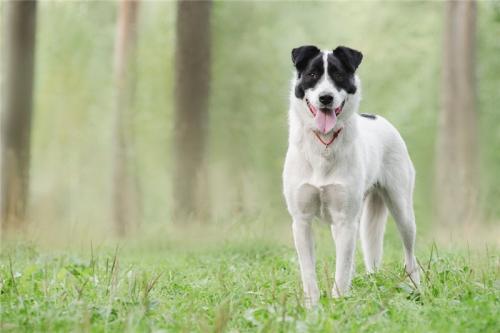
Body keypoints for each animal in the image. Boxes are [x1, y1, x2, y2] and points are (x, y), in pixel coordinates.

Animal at [284, 45, 420, 308]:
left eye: (338, 75)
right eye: (312, 75)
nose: (326, 98)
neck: (324, 145)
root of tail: (376, 117)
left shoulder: (346, 220)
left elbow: (342, 269)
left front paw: (338, 305)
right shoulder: (301, 221)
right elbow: (309, 272)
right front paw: (312, 307)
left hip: (402, 210)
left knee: (410, 255)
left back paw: (416, 289)